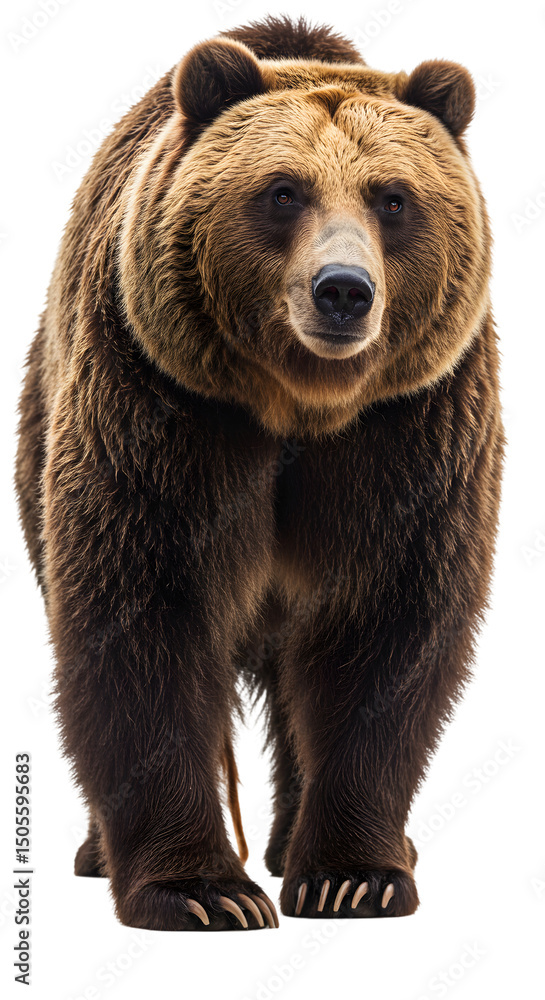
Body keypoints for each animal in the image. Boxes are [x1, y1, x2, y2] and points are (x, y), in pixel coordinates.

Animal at [15, 15, 503, 929]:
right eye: (283, 191)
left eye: (392, 197)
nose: (342, 290)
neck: (297, 407)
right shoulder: (164, 411)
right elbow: (143, 622)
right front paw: (202, 890)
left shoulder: (407, 432)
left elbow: (383, 631)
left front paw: (353, 876)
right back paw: (100, 852)